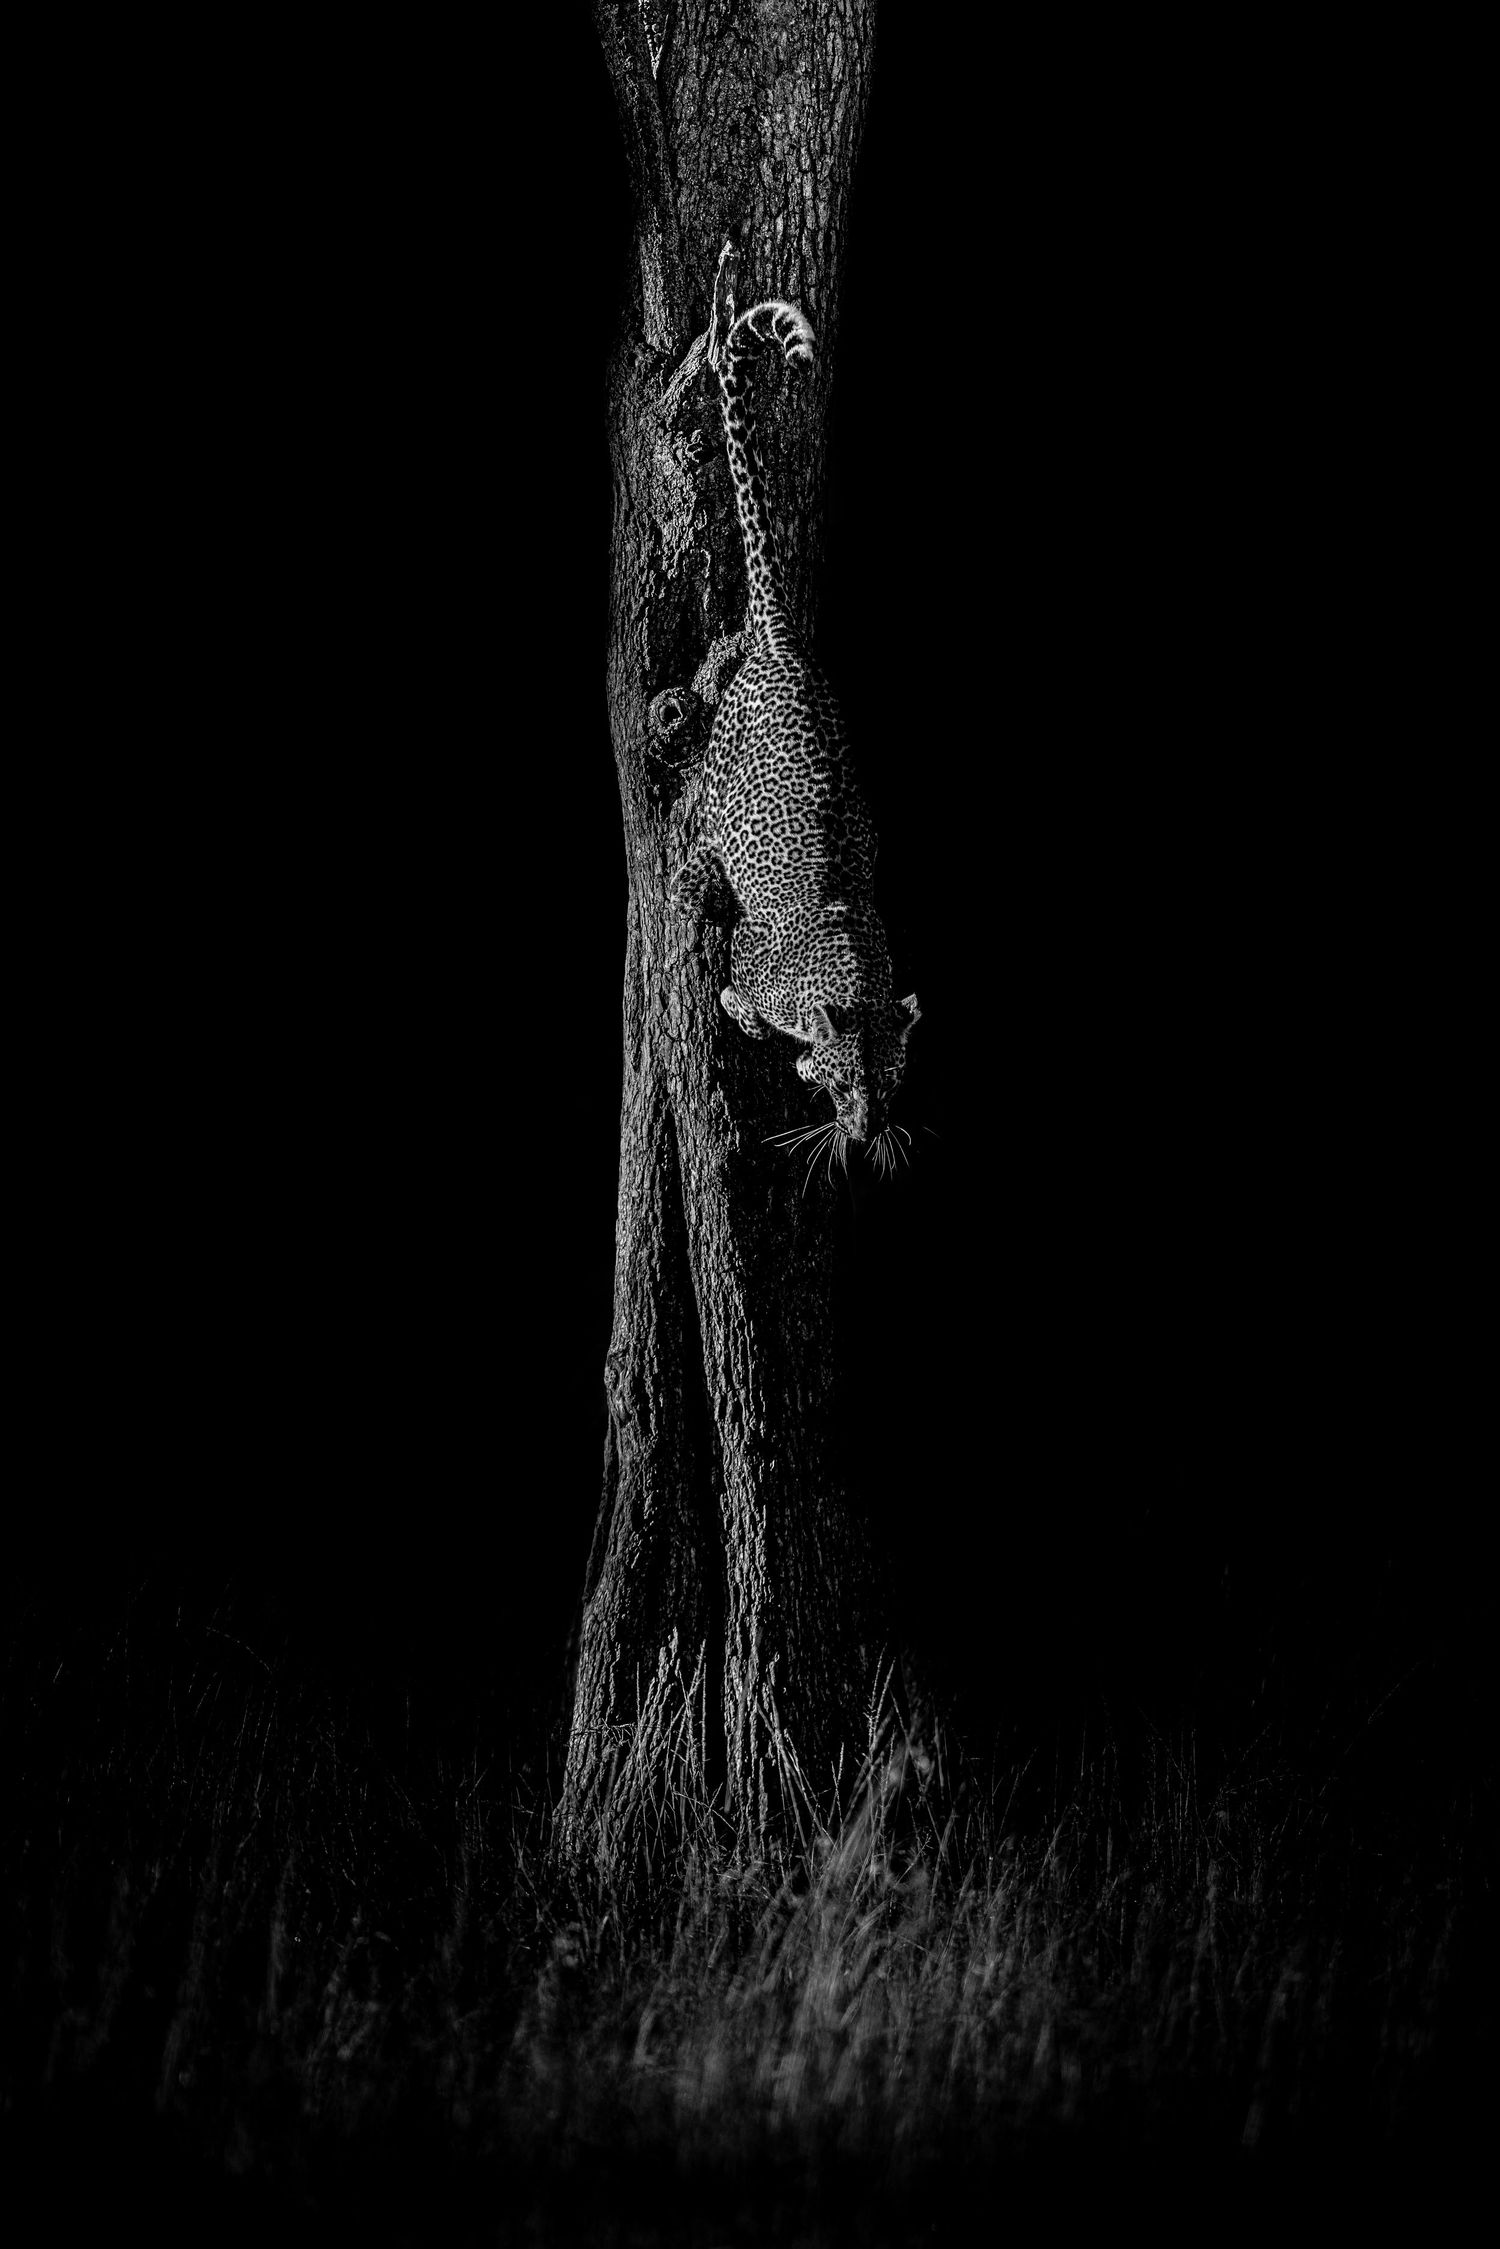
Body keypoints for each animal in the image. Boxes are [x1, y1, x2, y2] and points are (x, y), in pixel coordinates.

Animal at [669, 240, 920, 1178]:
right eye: (846, 1083)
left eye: (892, 1082)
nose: (868, 1129)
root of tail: (779, 641)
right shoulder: (750, 960)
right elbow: (736, 988)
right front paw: (747, 1019)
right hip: (715, 782)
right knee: (695, 853)